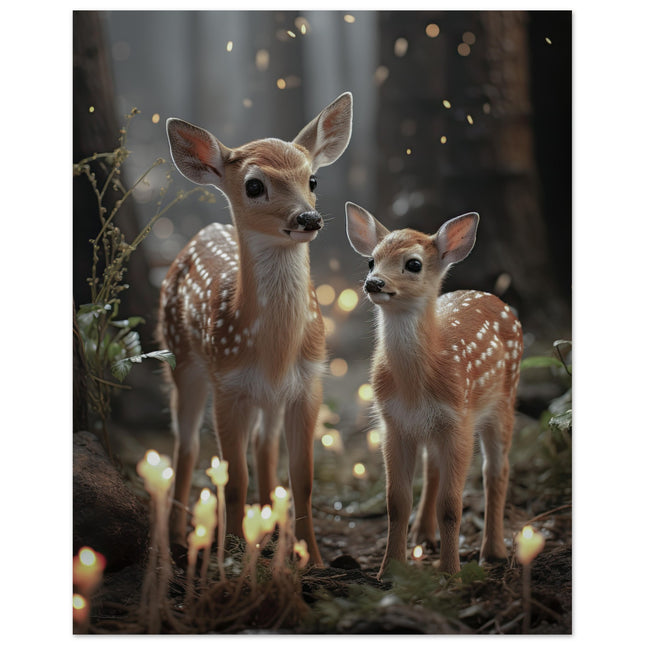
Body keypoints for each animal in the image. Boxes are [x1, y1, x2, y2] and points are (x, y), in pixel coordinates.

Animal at [158, 92, 353, 566]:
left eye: (313, 179)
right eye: (253, 185)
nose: (308, 219)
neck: (275, 349)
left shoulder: (309, 383)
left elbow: (302, 477)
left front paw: (313, 559)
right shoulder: (228, 385)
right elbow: (234, 479)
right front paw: (229, 557)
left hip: (267, 395)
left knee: (265, 447)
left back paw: (269, 532)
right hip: (182, 359)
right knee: (187, 446)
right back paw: (177, 539)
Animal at [345, 202, 523, 578]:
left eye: (413, 263)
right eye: (371, 260)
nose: (374, 282)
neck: (415, 386)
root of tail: (498, 300)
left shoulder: (459, 420)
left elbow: (452, 505)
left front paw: (451, 573)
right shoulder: (393, 424)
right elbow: (396, 501)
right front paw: (389, 570)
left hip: (504, 401)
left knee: (495, 471)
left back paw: (493, 552)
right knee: (433, 468)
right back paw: (422, 536)